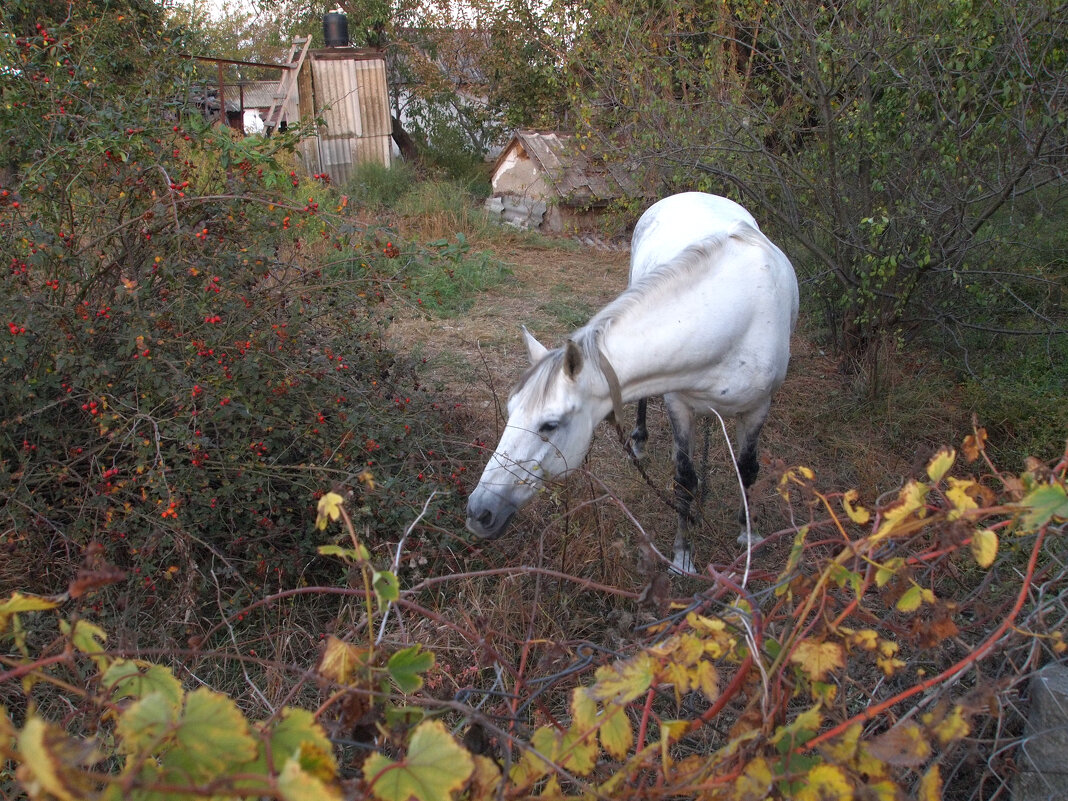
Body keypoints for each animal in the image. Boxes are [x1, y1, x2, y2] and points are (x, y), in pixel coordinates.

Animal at [463, 191, 798, 572]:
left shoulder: (759, 407)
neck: (733, 315)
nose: (478, 512)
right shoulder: (678, 403)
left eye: (549, 425)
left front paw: (748, 536)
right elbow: (684, 479)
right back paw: (639, 442)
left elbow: (748, 472)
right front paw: (683, 556)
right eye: (510, 411)